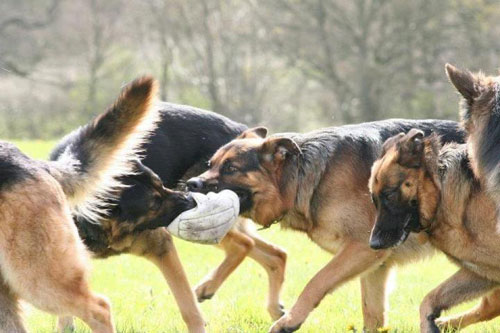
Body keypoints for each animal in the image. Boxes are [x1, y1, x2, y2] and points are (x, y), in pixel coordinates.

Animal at [51, 103, 290, 330]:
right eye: (154, 201)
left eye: (160, 183)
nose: (190, 197)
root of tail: (242, 133)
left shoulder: (162, 246)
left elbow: (188, 306)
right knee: (276, 253)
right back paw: (274, 309)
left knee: (244, 244)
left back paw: (206, 288)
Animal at [187, 118, 464, 330]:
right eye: (210, 164)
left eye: (231, 168)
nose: (190, 184)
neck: (301, 175)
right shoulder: (376, 263)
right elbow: (372, 316)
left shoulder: (361, 248)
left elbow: (316, 281)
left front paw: (289, 321)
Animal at [368, 129, 500, 330]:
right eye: (373, 199)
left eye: (389, 195)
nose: (373, 244)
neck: (440, 192)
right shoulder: (484, 272)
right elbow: (429, 300)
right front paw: (431, 323)